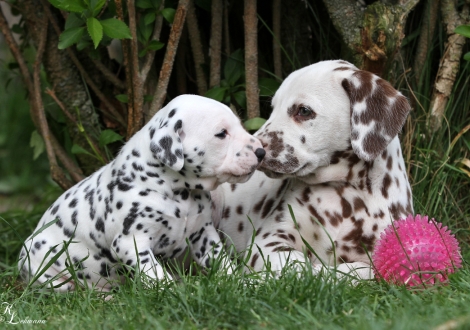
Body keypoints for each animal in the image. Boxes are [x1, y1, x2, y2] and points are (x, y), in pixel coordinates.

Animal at [18, 94, 264, 290]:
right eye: (222, 133)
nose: (261, 151)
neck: (177, 192)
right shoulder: (132, 243)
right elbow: (155, 275)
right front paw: (172, 292)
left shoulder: (203, 233)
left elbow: (223, 263)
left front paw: (240, 283)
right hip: (46, 271)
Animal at [211, 60, 414, 278]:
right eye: (273, 108)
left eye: (304, 110)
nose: (256, 149)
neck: (344, 197)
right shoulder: (268, 242)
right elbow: (300, 264)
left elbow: (363, 270)